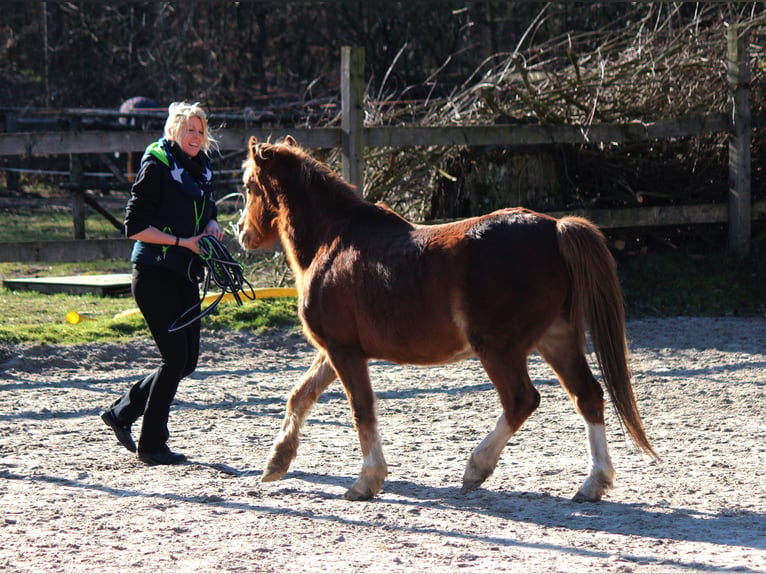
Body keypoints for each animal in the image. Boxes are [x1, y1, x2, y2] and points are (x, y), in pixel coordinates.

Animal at [236, 135, 657, 502]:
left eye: (247, 187)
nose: (241, 232)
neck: (333, 241)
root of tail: (554, 228)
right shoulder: (334, 349)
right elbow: (300, 395)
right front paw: (277, 462)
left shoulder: (344, 351)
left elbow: (361, 410)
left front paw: (366, 482)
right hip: (557, 339)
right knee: (588, 396)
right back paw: (593, 483)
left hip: (499, 349)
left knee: (522, 400)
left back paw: (476, 469)